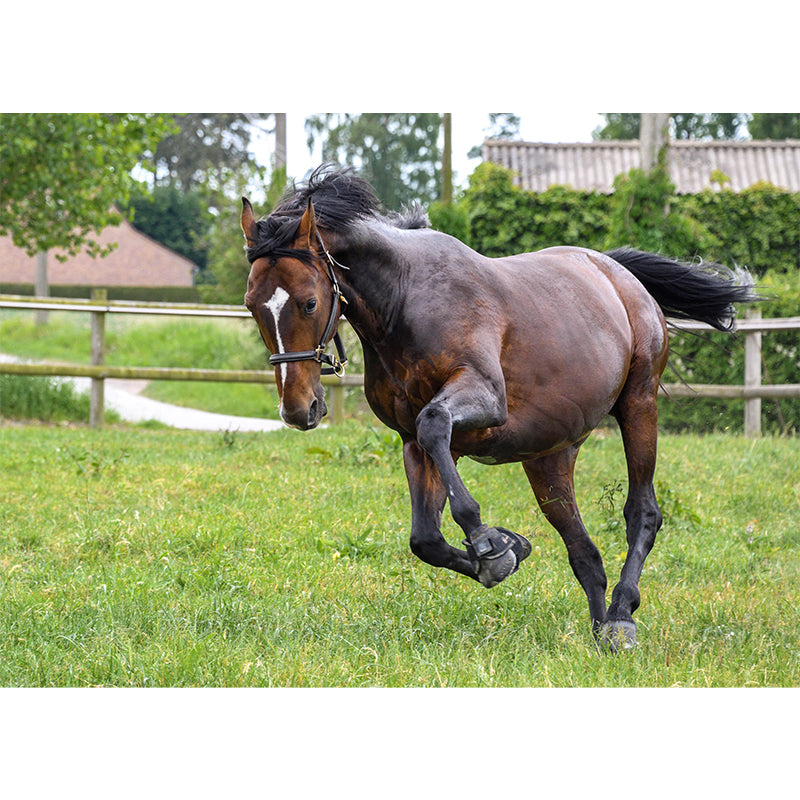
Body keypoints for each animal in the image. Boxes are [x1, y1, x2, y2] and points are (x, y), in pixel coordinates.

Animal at [241, 165, 756, 650]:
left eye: (310, 302)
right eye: (251, 305)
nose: (298, 409)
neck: (405, 300)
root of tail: (615, 270)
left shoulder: (484, 399)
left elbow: (436, 426)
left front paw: (490, 542)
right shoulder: (412, 442)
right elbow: (425, 538)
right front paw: (507, 548)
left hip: (638, 405)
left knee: (643, 513)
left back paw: (622, 618)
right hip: (550, 456)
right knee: (584, 552)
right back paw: (600, 631)